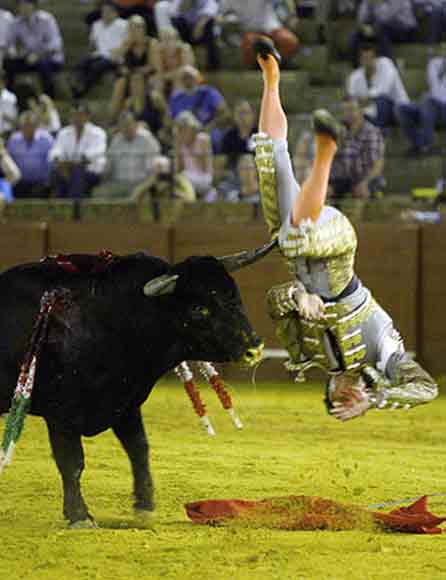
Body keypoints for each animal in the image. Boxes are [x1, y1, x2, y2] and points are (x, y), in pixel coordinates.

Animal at [0, 240, 276, 524]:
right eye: (199, 309)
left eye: (235, 296)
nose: (254, 349)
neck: (112, 318)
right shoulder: (62, 413)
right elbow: (72, 461)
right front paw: (80, 516)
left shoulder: (126, 402)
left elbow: (138, 449)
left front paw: (144, 506)